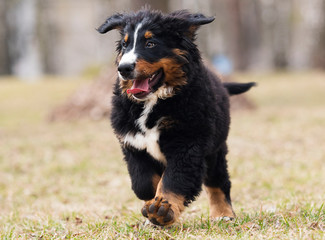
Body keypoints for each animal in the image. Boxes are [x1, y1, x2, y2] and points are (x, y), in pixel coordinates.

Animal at [97, 9, 254, 227]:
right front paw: (151, 209)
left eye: (150, 43)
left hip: (215, 150)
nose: (124, 68)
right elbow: (143, 183)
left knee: (218, 182)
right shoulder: (134, 145)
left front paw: (162, 210)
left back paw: (223, 214)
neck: (153, 103)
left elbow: (174, 179)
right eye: (124, 45)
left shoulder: (187, 143)